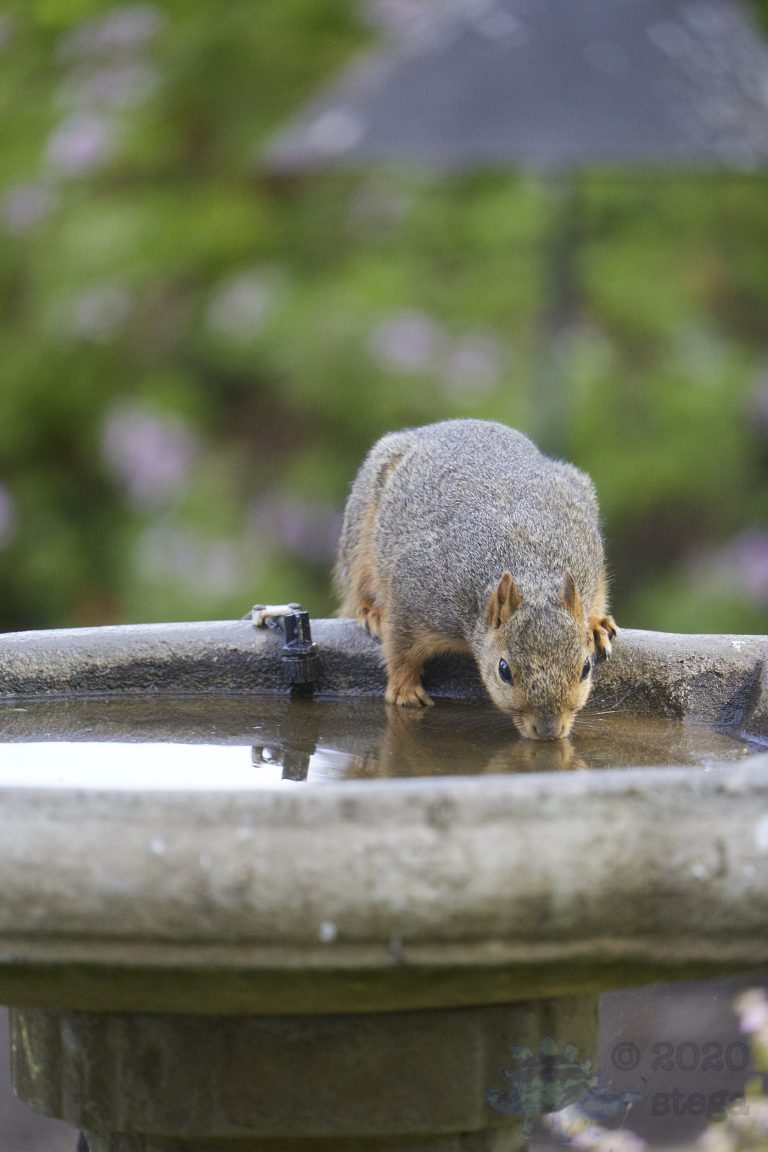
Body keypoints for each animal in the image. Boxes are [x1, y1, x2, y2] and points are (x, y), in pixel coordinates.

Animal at [334, 419, 616, 740]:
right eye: (503, 670)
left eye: (585, 668)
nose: (549, 730)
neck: (529, 566)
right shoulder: (415, 593)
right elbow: (400, 647)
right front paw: (404, 690)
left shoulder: (590, 562)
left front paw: (594, 624)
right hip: (359, 535)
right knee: (358, 585)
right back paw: (371, 612)